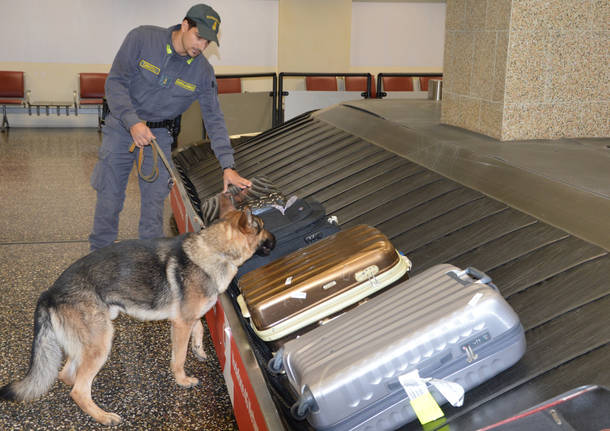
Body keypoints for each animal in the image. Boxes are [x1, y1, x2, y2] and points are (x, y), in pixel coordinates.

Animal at [0, 208, 274, 426]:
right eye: (262, 227)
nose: (276, 239)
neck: (214, 250)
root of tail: (50, 292)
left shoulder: (189, 316)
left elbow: (200, 328)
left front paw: (199, 350)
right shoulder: (181, 323)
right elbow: (179, 357)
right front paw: (182, 379)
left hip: (89, 342)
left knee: (67, 375)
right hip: (101, 341)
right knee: (78, 389)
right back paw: (103, 416)